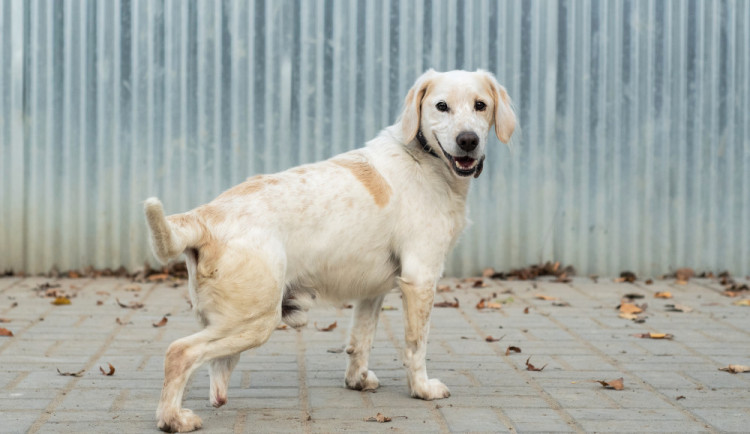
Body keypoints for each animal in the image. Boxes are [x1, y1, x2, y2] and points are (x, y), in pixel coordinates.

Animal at [143, 69, 516, 432]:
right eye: (441, 106)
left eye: (480, 105)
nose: (468, 140)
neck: (424, 160)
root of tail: (204, 215)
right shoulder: (420, 279)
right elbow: (416, 344)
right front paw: (422, 389)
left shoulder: (372, 292)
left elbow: (360, 340)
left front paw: (358, 381)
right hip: (255, 321)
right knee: (179, 352)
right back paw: (173, 419)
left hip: (236, 322)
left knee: (214, 372)